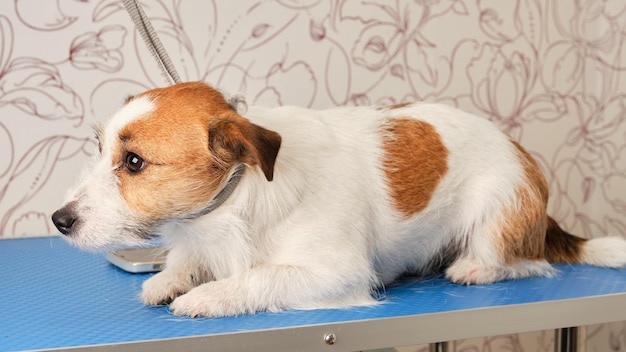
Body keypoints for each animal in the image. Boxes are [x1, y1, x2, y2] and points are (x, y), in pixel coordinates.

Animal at [51, 81, 624, 318]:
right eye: (99, 148)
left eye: (133, 163)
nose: (58, 220)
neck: (237, 200)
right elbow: (187, 260)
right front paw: (172, 278)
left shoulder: (337, 273)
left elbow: (257, 278)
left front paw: (209, 296)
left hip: (499, 209)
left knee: (525, 262)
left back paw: (477, 267)